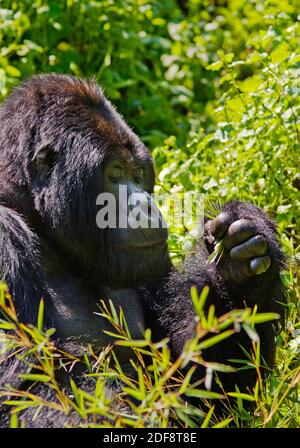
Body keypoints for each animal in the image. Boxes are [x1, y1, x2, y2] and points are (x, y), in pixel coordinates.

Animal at [0, 74, 286, 428]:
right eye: (115, 174)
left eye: (138, 175)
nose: (148, 206)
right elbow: (27, 390)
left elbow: (204, 392)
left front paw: (240, 271)